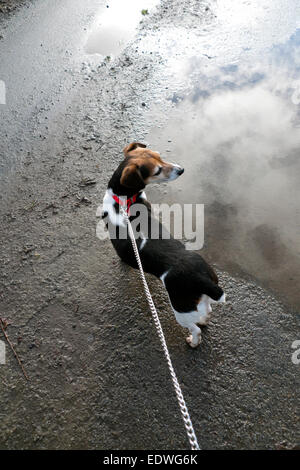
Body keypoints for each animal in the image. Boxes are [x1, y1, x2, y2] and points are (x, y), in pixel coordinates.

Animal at [101, 141, 225, 346]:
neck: (124, 199)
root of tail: (204, 279)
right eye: (157, 170)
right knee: (207, 311)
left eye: (160, 156)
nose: (181, 169)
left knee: (195, 329)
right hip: (199, 300)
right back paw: (204, 320)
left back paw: (193, 341)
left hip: (181, 310)